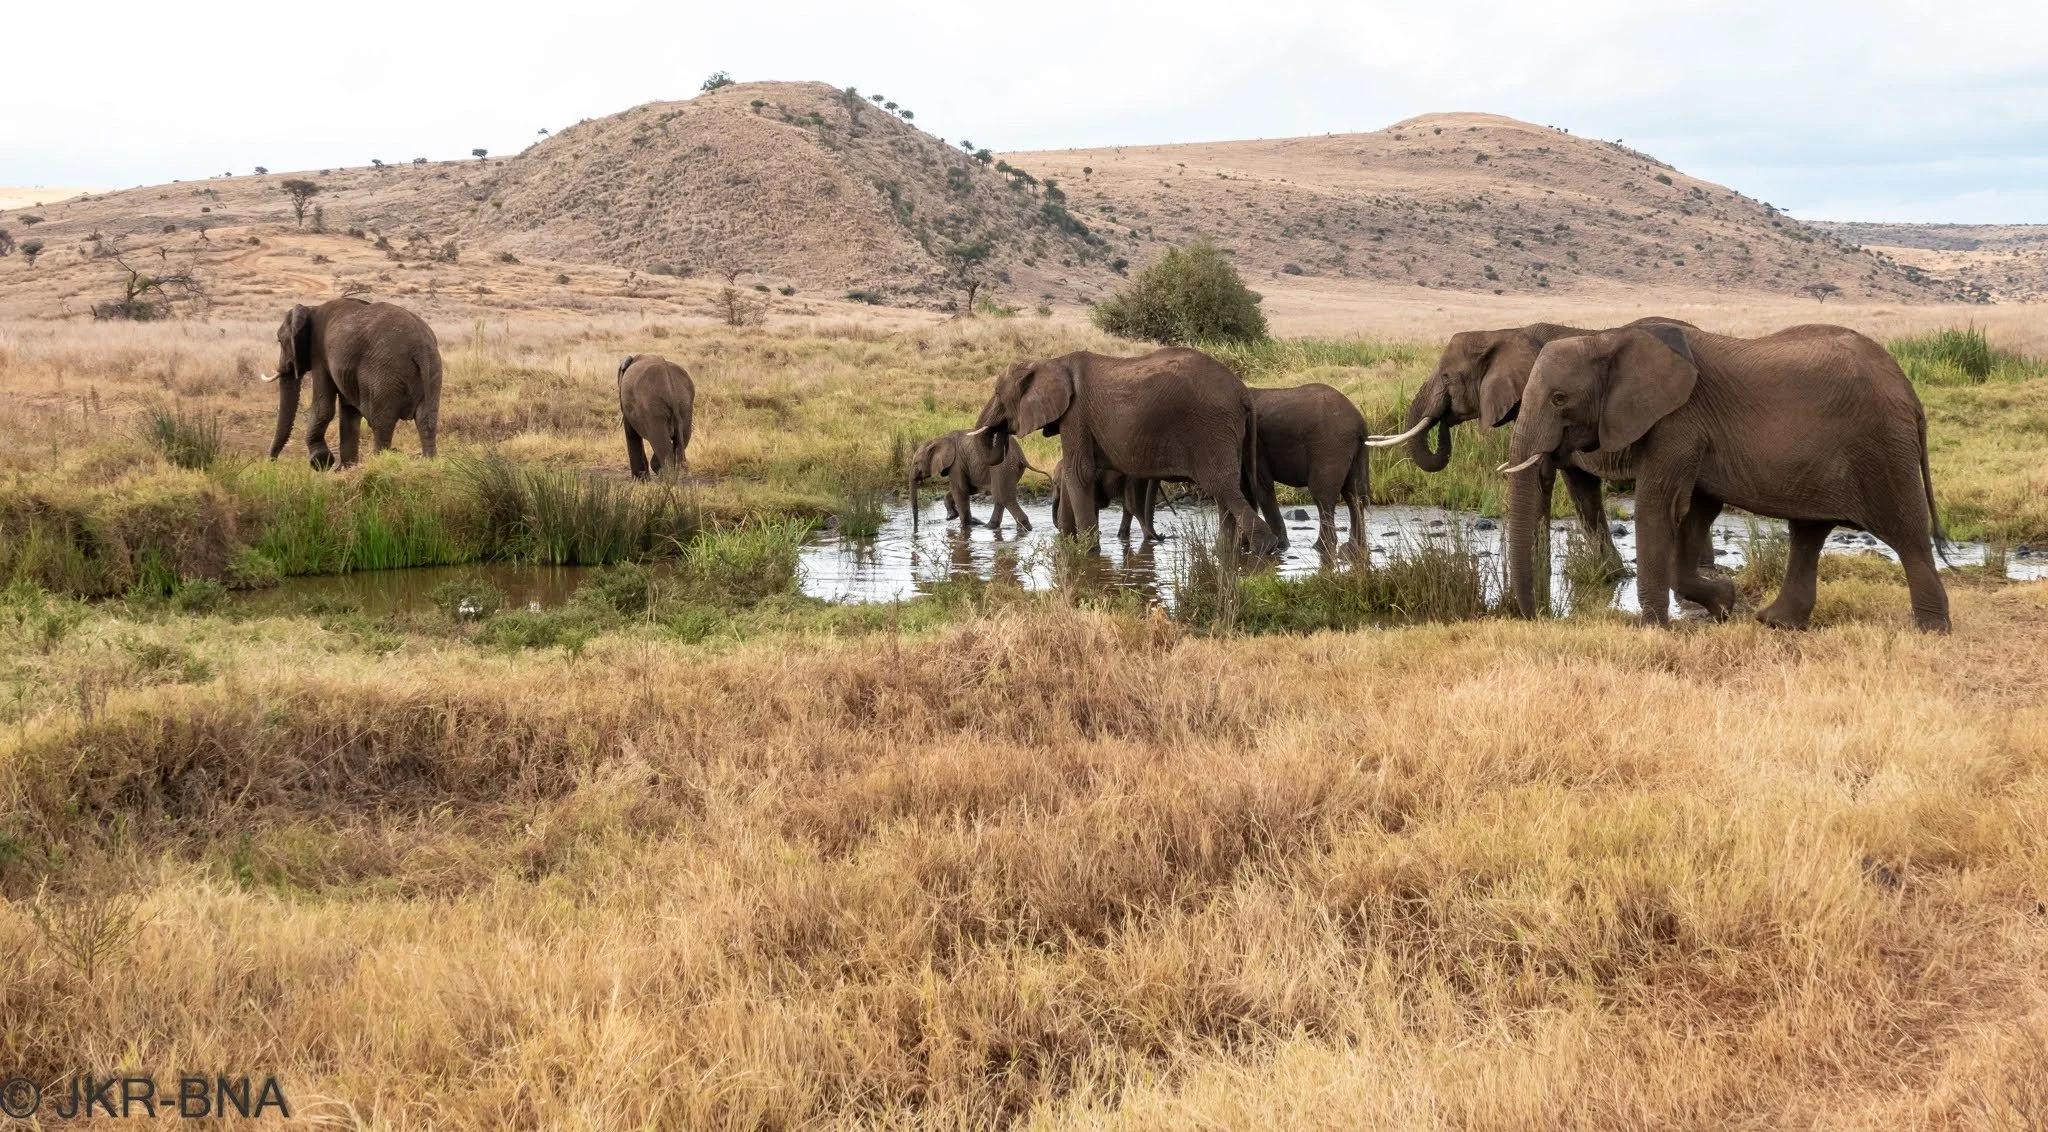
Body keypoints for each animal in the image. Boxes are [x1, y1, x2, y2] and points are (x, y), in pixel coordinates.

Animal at [261, 298, 441, 468]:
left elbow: (323, 407)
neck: (311, 308)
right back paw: (429, 462)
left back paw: (378, 463)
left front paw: (320, 462)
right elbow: (349, 410)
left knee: (382, 422)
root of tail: (419, 345)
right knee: (426, 419)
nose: (272, 461)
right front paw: (346, 468)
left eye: (280, 341)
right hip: (433, 369)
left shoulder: (319, 354)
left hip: (385, 372)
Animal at [908, 430, 1042, 533]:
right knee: (999, 496)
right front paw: (951, 516)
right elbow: (968, 488)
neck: (938, 439)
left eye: (916, 463)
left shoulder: (956, 463)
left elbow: (960, 490)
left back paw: (1023, 528)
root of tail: (1021, 456)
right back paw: (989, 527)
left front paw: (963, 526)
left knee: (1004, 497)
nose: (915, 530)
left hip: (1002, 466)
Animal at [971, 348, 1277, 553]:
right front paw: (1069, 545)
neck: (1051, 361)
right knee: (1228, 490)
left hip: (1211, 428)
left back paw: (1263, 547)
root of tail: (1243, 392)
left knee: (1222, 487)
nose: (1000, 433)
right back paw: (1225, 552)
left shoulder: (1076, 413)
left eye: (997, 393)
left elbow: (1078, 472)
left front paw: (1087, 551)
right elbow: (1075, 473)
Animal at [1248, 383, 1370, 552]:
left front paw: (1278, 546)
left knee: (1323, 494)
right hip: (1357, 450)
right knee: (1355, 493)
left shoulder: (1255, 442)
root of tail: (1360, 422)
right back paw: (1354, 547)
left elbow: (1259, 485)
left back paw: (1321, 547)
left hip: (1330, 445)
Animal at [1502, 321, 1949, 632]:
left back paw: (1929, 630)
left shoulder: (1677, 423)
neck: (1608, 338)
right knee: (1808, 533)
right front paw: (1723, 604)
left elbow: (1658, 507)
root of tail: (1910, 394)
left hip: (1882, 449)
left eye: (1560, 399)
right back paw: (1777, 623)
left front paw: (1650, 628)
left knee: (1906, 533)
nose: (1538, 616)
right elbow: (1696, 511)